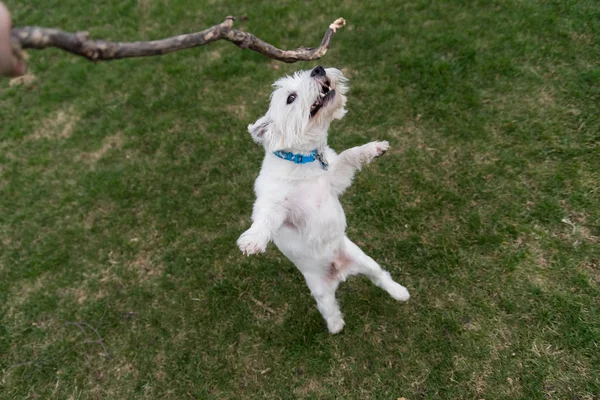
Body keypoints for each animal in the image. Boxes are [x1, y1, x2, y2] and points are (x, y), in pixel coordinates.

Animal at [237, 66, 410, 334]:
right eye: (290, 98)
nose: (318, 69)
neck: (303, 161)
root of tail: (340, 272)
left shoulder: (334, 180)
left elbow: (349, 155)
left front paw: (374, 148)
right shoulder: (279, 208)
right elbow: (265, 218)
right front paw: (252, 241)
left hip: (364, 259)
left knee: (380, 276)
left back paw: (400, 292)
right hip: (318, 290)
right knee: (330, 308)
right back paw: (336, 326)